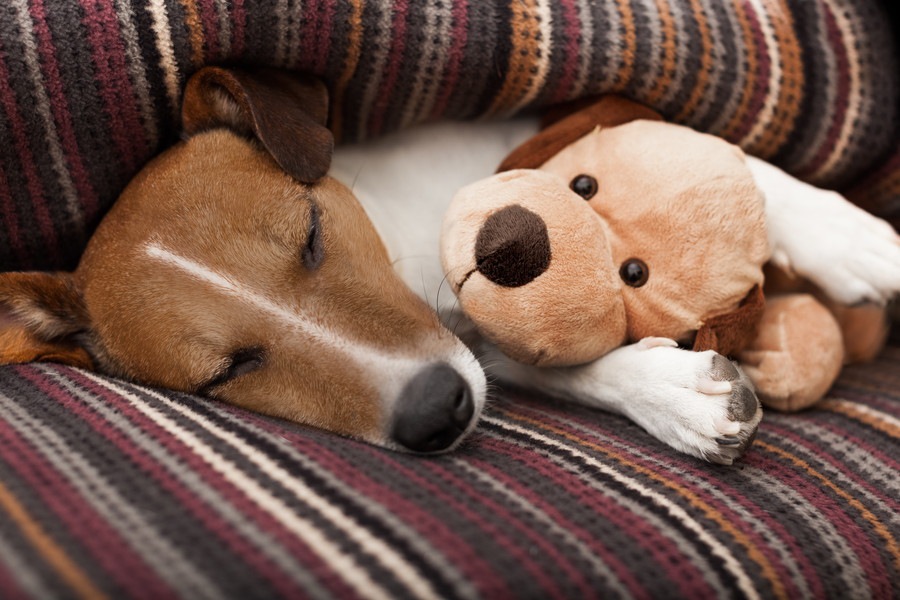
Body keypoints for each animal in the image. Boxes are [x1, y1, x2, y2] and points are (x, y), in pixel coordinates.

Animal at [1, 69, 900, 464]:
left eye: (310, 235)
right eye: (227, 373)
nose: (438, 412)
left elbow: (733, 166)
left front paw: (857, 239)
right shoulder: (482, 345)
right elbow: (562, 366)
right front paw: (670, 395)